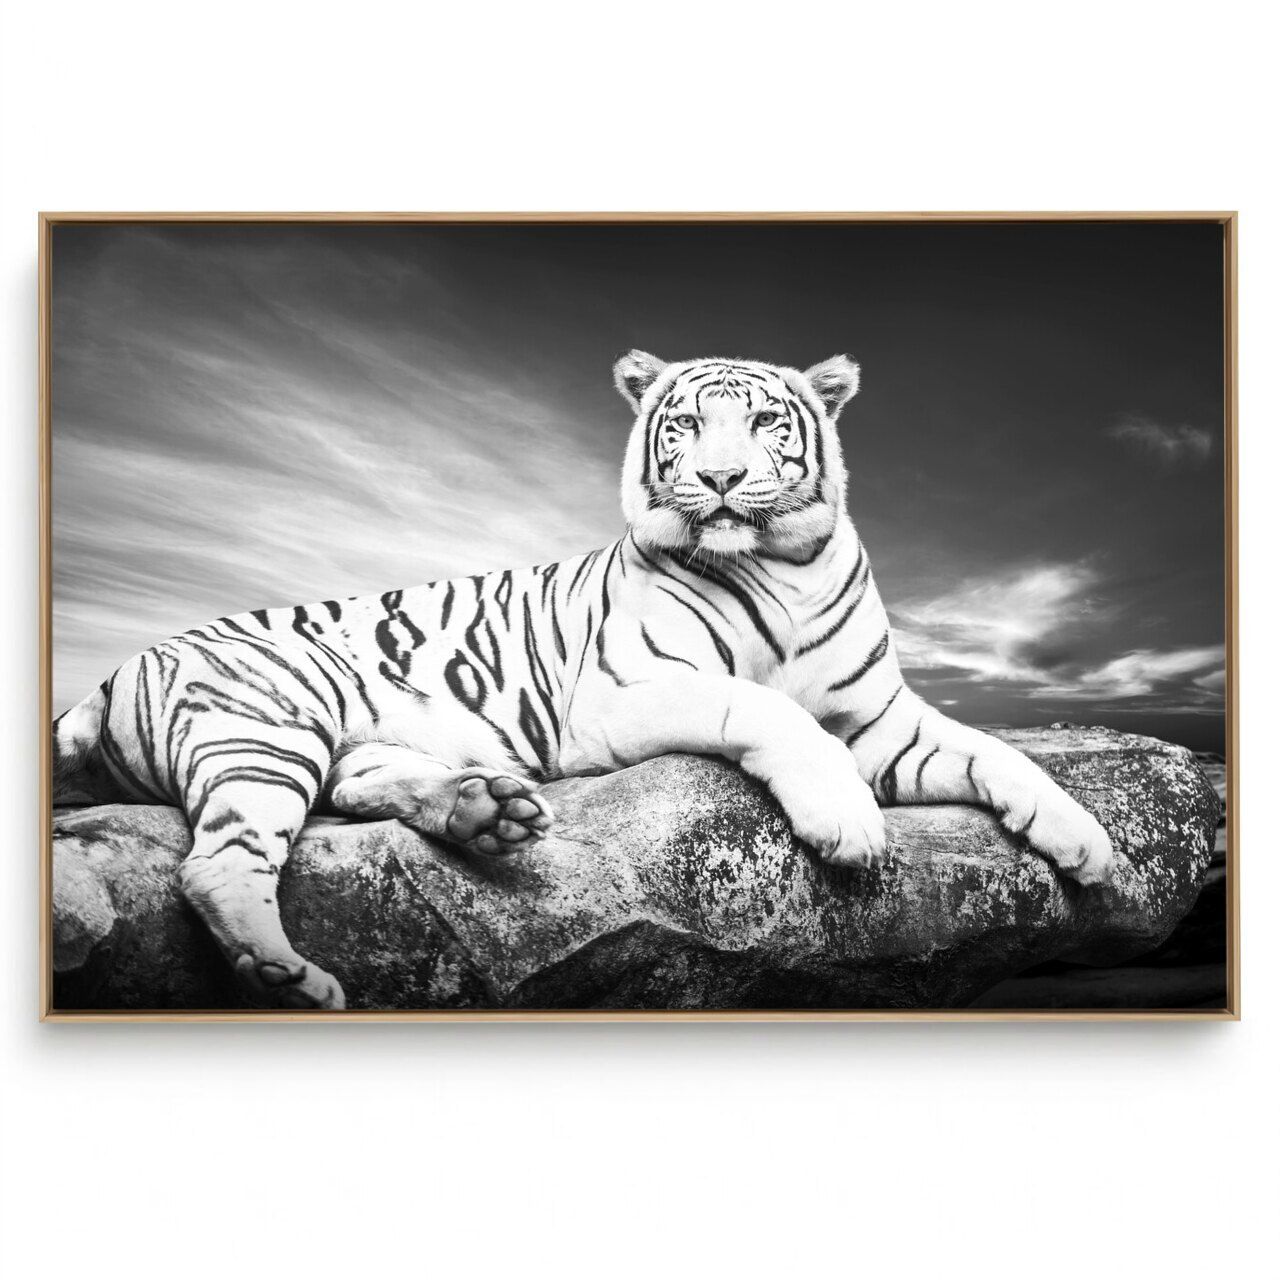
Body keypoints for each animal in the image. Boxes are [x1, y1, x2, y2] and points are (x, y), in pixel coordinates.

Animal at [53, 350, 1115, 1010]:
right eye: (685, 425)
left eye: (764, 421)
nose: (722, 480)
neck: (785, 565)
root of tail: (117, 666)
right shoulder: (624, 696)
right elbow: (763, 705)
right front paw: (847, 822)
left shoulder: (882, 718)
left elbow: (999, 756)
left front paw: (1093, 846)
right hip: (266, 725)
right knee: (216, 862)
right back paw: (289, 978)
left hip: (337, 746)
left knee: (356, 790)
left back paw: (487, 811)